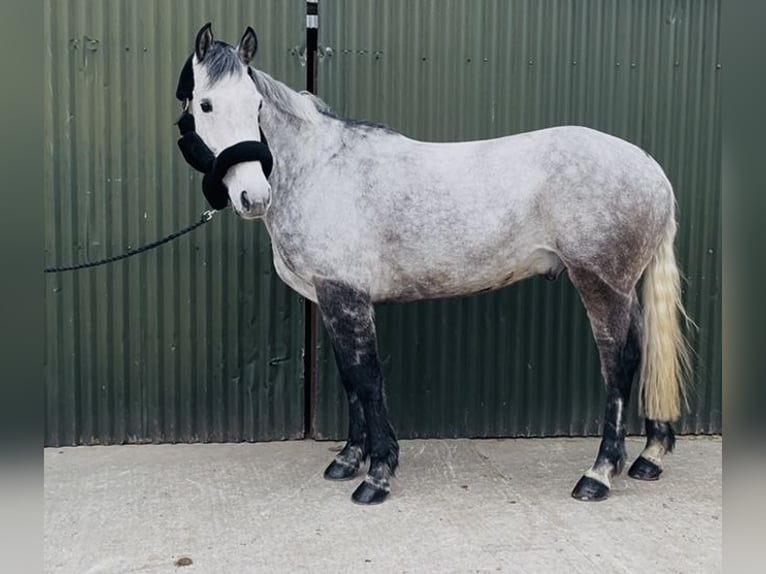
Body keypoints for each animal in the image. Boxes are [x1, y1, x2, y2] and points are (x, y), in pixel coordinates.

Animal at [176, 23, 692, 505]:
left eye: (255, 107)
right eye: (205, 105)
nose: (252, 197)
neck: (318, 169)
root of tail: (652, 171)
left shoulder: (347, 298)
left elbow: (367, 380)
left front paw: (377, 476)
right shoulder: (332, 299)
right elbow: (349, 379)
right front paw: (348, 459)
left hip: (601, 285)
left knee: (619, 364)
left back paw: (599, 474)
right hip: (622, 288)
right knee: (643, 352)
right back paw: (648, 457)